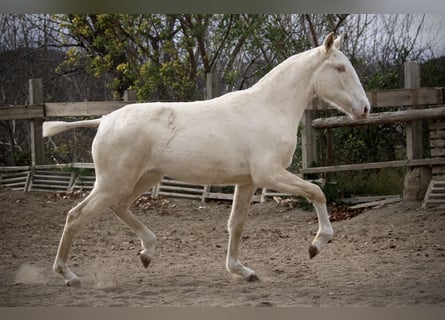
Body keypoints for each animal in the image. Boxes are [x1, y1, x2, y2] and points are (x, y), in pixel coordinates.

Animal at [42, 32, 368, 286]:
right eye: (340, 68)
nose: (364, 109)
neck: (267, 109)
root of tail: (104, 120)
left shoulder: (247, 182)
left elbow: (236, 224)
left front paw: (242, 271)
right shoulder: (269, 175)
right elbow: (317, 191)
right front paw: (317, 245)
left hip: (142, 179)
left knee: (119, 207)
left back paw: (147, 253)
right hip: (113, 183)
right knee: (76, 216)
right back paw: (68, 274)